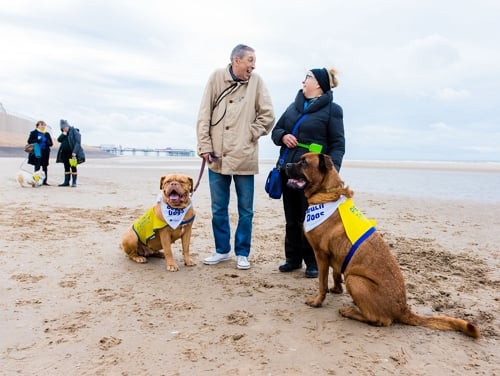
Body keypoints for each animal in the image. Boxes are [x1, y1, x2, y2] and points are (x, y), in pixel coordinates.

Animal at [286, 153, 480, 338]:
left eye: (304, 163)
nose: (285, 164)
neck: (327, 192)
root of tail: (403, 309)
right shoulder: (334, 257)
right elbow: (335, 274)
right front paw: (336, 289)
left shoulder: (320, 255)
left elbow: (322, 283)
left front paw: (317, 301)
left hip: (354, 279)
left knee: (381, 320)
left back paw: (350, 311)